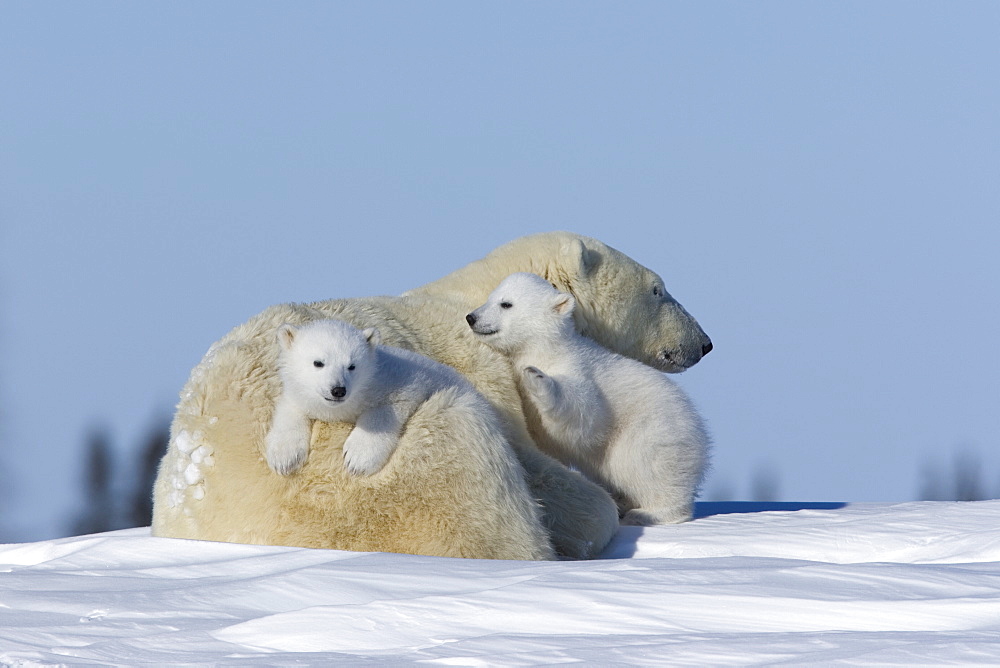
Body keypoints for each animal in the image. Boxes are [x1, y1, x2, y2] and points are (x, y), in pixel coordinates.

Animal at [150, 232, 712, 560]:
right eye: (659, 290)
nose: (703, 343)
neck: (476, 298)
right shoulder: (481, 362)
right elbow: (533, 454)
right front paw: (598, 515)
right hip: (366, 477)